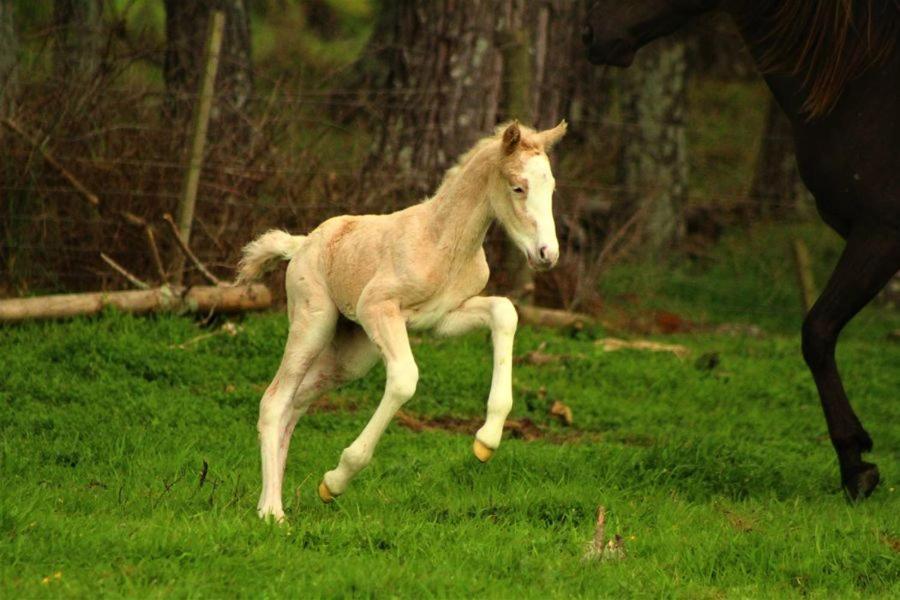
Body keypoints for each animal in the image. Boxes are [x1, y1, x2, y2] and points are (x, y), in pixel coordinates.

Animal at [236, 119, 568, 516]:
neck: (443, 242)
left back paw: (269, 500)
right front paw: (337, 479)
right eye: (518, 187)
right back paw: (273, 512)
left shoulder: (442, 318)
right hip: (313, 323)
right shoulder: (378, 307)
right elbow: (405, 379)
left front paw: (486, 440)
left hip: (352, 355)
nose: (547, 254)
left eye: (552, 187)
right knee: (274, 400)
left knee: (296, 401)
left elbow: (505, 311)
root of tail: (301, 244)